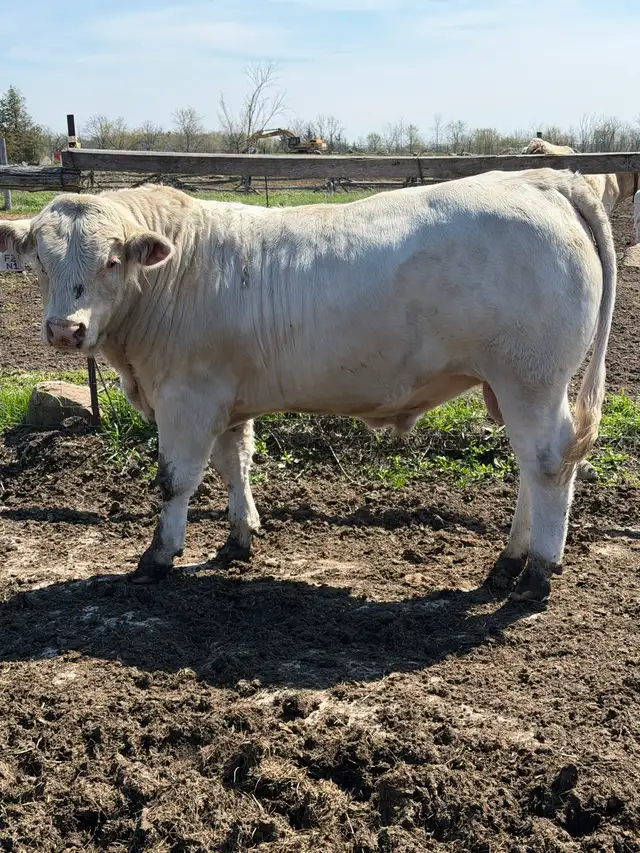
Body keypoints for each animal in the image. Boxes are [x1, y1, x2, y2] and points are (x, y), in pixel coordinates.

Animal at [0, 169, 616, 603]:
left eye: (110, 260)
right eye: (41, 262)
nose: (65, 329)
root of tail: (543, 179)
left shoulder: (186, 396)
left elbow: (176, 480)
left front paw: (157, 557)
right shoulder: (226, 396)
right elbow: (235, 463)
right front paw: (238, 539)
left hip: (531, 379)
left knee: (547, 466)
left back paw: (537, 574)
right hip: (511, 386)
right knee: (530, 469)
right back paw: (507, 564)